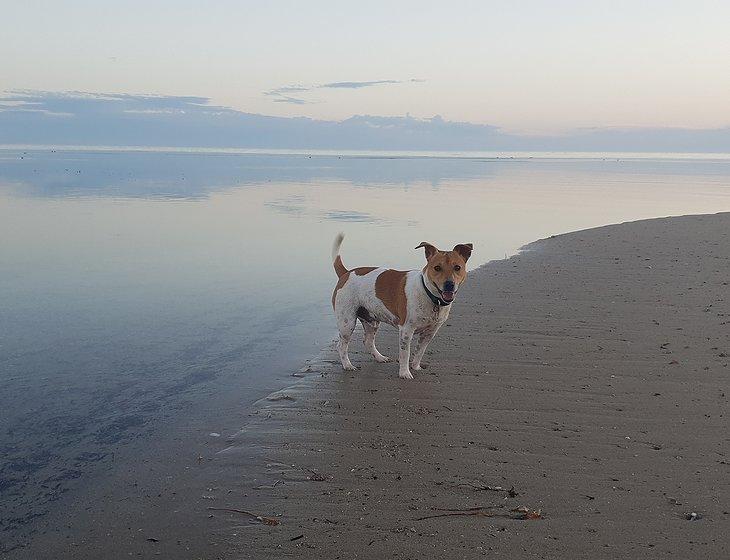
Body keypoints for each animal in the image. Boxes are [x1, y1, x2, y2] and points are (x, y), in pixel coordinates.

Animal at [330, 234, 472, 378]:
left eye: (457, 267)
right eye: (437, 268)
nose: (449, 284)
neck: (428, 294)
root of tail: (346, 273)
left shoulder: (429, 333)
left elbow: (420, 351)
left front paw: (416, 367)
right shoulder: (406, 330)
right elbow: (405, 353)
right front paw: (404, 373)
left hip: (371, 321)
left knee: (368, 341)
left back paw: (379, 357)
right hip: (347, 323)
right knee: (341, 346)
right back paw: (348, 365)